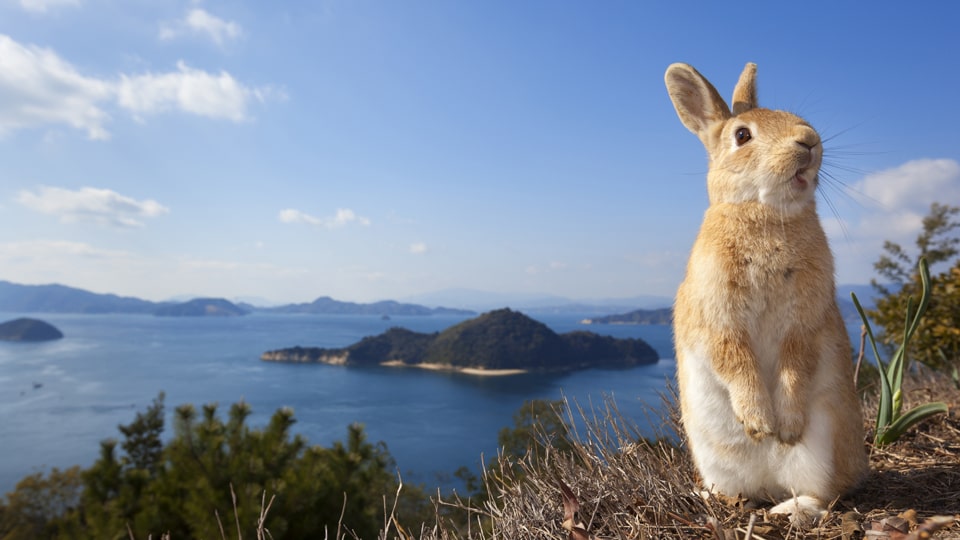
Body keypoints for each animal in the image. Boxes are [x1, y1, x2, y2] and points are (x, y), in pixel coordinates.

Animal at [664, 62, 868, 524]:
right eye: (742, 135)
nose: (808, 140)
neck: (766, 214)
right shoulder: (719, 320)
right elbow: (736, 362)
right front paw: (759, 424)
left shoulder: (804, 324)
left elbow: (795, 366)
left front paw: (784, 428)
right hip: (713, 458)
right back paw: (722, 499)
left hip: (822, 450)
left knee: (823, 494)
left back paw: (789, 508)